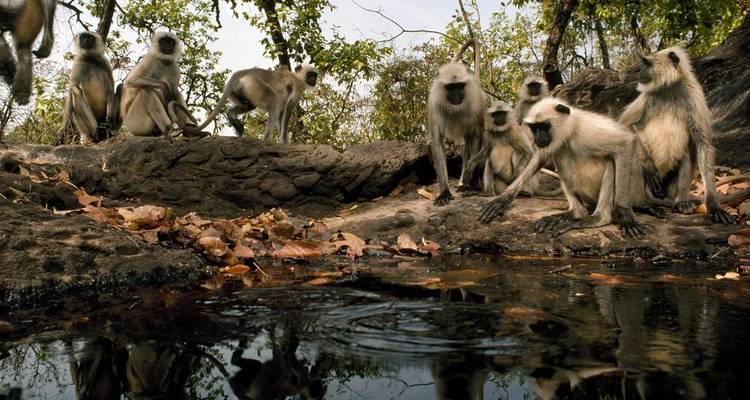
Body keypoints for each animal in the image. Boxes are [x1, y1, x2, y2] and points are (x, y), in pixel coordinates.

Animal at [172, 64, 318, 143]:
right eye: (310, 75)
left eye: (314, 76)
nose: (314, 80)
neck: (297, 77)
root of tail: (248, 71)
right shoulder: (298, 87)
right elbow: (287, 110)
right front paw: (284, 142)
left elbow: (281, 116)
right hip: (254, 85)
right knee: (274, 100)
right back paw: (266, 140)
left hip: (240, 90)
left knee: (250, 105)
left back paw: (231, 116)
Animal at [427, 39, 485, 206]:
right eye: (451, 87)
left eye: (459, 86)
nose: (456, 94)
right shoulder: (434, 104)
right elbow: (437, 140)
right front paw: (444, 192)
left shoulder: (475, 102)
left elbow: (476, 134)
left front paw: (469, 183)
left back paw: (470, 183)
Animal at [480, 98, 645, 239]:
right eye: (535, 128)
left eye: (544, 126)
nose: (538, 137)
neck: (571, 130)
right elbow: (543, 155)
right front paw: (503, 199)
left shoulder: (589, 130)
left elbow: (626, 143)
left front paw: (624, 213)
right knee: (561, 153)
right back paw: (576, 213)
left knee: (611, 161)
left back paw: (599, 217)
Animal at [620, 47, 733, 225]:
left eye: (647, 64)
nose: (640, 71)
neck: (669, 87)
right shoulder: (646, 97)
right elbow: (624, 126)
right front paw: (648, 164)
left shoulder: (693, 94)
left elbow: (703, 144)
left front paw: (714, 205)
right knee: (633, 156)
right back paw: (641, 204)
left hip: (667, 189)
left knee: (687, 154)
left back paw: (681, 203)